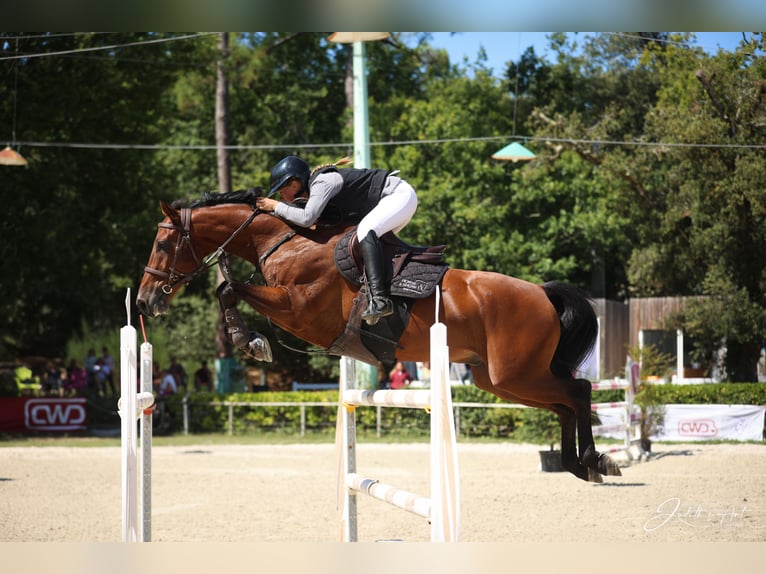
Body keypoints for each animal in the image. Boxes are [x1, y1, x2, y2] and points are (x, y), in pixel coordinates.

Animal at [136, 188, 621, 483]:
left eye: (162, 244)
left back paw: (593, 460)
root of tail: (541, 293)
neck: (287, 241)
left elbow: (229, 288)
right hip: (498, 380)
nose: (143, 302)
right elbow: (228, 289)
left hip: (515, 374)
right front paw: (249, 339)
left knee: (577, 391)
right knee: (565, 402)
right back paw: (581, 464)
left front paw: (250, 341)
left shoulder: (300, 310)